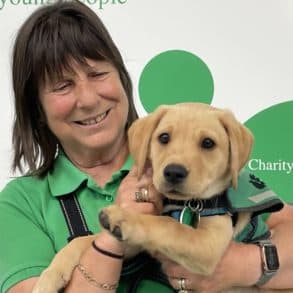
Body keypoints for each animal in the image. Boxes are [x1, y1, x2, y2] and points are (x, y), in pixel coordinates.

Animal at [32, 102, 253, 290]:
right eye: (164, 137)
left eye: (208, 143)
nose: (173, 172)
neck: (186, 204)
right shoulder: (131, 246)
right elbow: (85, 241)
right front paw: (50, 276)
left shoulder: (209, 245)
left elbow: (169, 225)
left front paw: (124, 218)